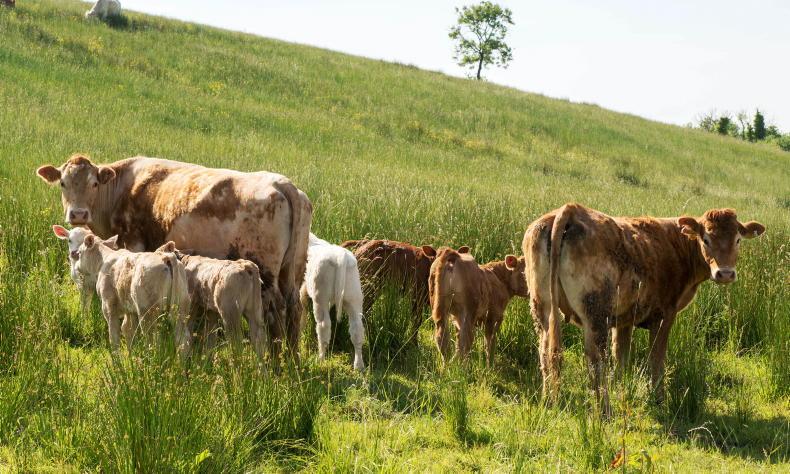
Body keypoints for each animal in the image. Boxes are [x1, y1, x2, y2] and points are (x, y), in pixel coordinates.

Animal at [37, 154, 312, 362]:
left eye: (94, 183)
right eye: (63, 183)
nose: (78, 214)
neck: (122, 190)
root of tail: (283, 184)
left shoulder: (134, 246)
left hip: (266, 272)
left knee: (276, 312)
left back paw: (278, 363)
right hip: (293, 272)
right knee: (294, 309)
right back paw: (293, 362)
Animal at [301, 234, 366, 371]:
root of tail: (340, 256)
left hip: (321, 298)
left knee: (324, 326)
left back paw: (320, 359)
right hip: (354, 296)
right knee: (357, 329)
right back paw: (358, 366)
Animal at [522, 203, 766, 412]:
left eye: (737, 240)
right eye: (705, 239)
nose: (725, 273)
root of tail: (570, 209)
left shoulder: (623, 319)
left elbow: (621, 355)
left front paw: (622, 389)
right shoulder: (665, 314)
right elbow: (656, 358)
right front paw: (658, 399)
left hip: (542, 308)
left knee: (547, 352)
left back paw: (549, 401)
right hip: (595, 313)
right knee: (596, 360)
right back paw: (605, 411)